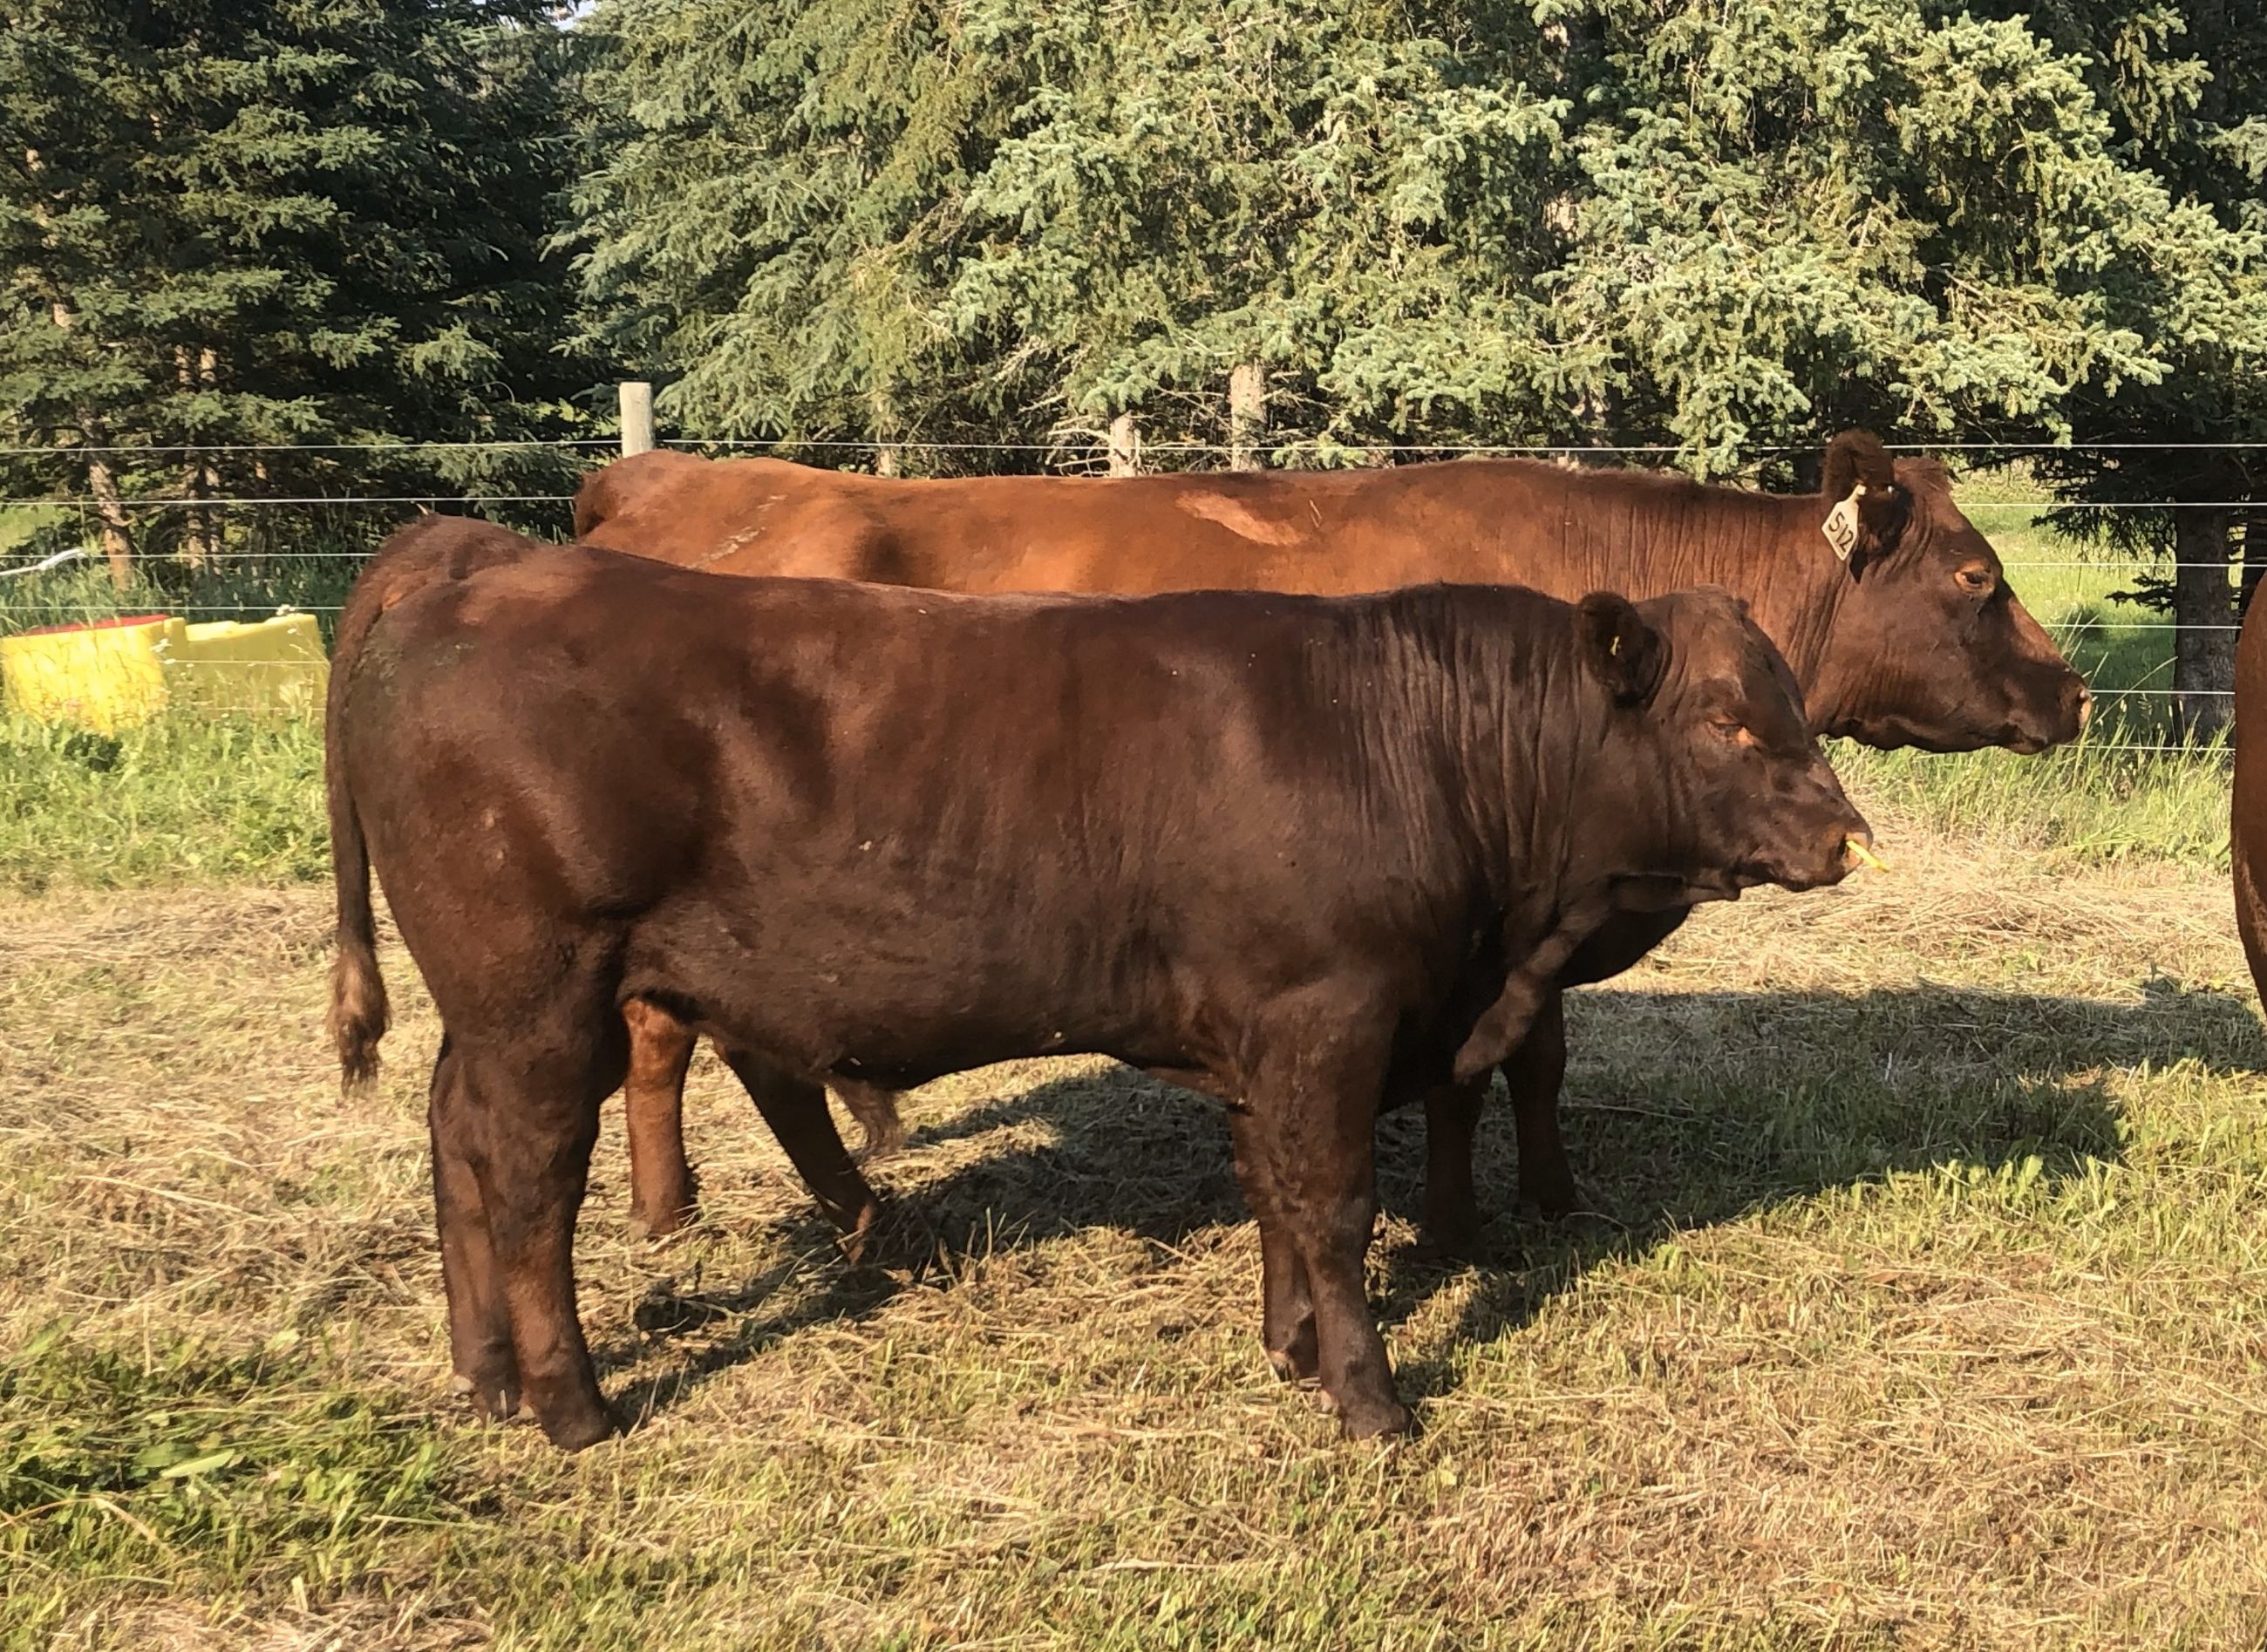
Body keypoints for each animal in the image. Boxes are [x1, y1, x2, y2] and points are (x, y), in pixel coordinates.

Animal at [326, 536, 1871, 1447]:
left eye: (1796, 705)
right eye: (1728, 719)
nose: (1849, 833)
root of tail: (462, 572)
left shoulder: (1264, 1031)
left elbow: (1273, 1195)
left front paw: (1289, 1344)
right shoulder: (1327, 1016)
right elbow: (1333, 1203)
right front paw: (1369, 1397)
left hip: (492, 1012)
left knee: (454, 1137)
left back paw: (483, 1369)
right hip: (544, 997)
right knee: (530, 1179)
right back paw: (569, 1401)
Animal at [572, 436, 2090, 1247]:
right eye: (1978, 575)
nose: (2075, 691)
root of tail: (675, 480)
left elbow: (1537, 1057)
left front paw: (1542, 1194)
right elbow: (1494, 1066)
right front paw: (1483, 1216)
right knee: (694, 1038)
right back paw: (738, 1210)